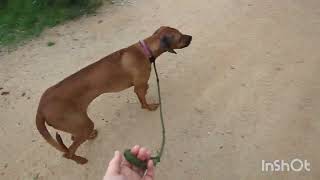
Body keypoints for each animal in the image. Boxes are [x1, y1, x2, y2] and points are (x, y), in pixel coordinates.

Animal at [35, 26, 190, 164]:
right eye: (180, 37)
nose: (191, 37)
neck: (145, 50)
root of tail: (41, 108)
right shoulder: (139, 86)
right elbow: (143, 100)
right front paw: (149, 107)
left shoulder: (139, 87)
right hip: (82, 123)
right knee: (68, 152)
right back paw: (81, 160)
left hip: (78, 123)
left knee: (73, 138)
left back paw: (90, 137)